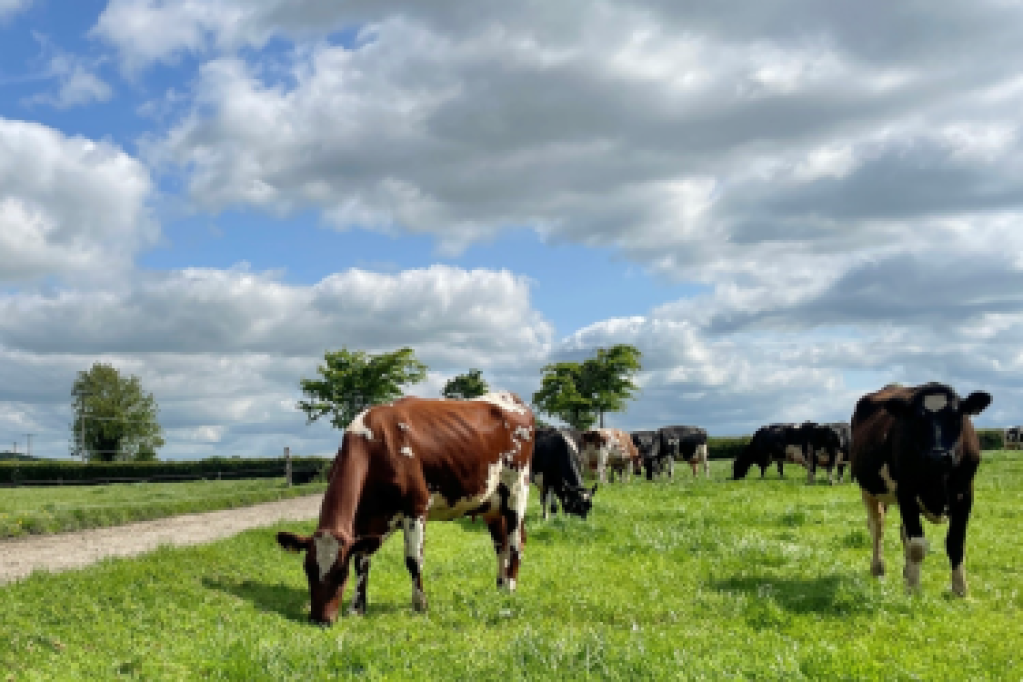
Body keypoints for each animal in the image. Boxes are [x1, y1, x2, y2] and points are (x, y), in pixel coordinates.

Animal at [275, 391, 535, 624]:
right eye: (307, 570)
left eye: (341, 574)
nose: (320, 620)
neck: (374, 445)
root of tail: (511, 398)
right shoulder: (366, 519)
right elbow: (361, 559)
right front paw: (357, 608)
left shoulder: (416, 507)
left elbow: (413, 560)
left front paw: (420, 605)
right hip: (491, 505)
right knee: (501, 543)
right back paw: (500, 586)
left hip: (517, 489)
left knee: (515, 542)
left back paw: (510, 588)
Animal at [850, 382, 991, 596]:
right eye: (917, 419)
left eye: (957, 416)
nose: (938, 457)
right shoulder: (906, 494)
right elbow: (917, 546)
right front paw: (914, 590)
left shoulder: (965, 495)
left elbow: (955, 543)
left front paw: (960, 590)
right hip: (868, 490)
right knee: (877, 527)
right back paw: (878, 570)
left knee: (902, 533)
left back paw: (906, 573)